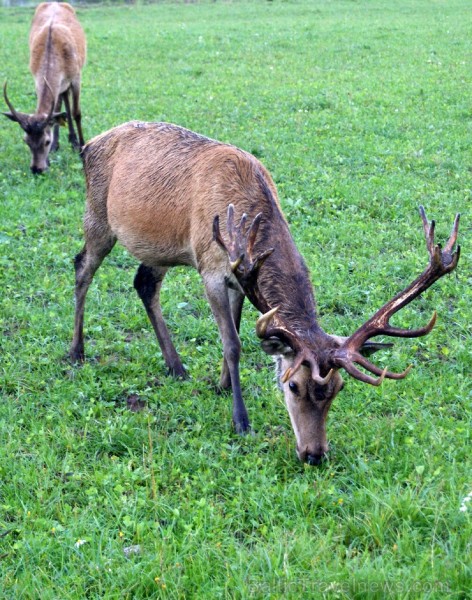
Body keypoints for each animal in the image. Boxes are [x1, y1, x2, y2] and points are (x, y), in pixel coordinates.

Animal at [2, 2, 86, 173]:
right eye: (26, 141)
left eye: (46, 141)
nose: (36, 169)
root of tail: (56, 2)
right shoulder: (37, 79)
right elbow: (55, 111)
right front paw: (54, 149)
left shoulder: (76, 77)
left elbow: (77, 113)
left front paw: (82, 149)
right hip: (61, 86)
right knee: (61, 103)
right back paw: (66, 142)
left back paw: (74, 143)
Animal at [71, 122, 460, 466]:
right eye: (294, 387)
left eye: (338, 389)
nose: (314, 455)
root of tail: (88, 144)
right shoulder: (211, 271)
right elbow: (232, 344)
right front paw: (240, 419)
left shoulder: (240, 278)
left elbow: (235, 331)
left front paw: (222, 385)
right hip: (97, 215)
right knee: (81, 267)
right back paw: (76, 352)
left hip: (159, 248)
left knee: (144, 283)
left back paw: (176, 366)